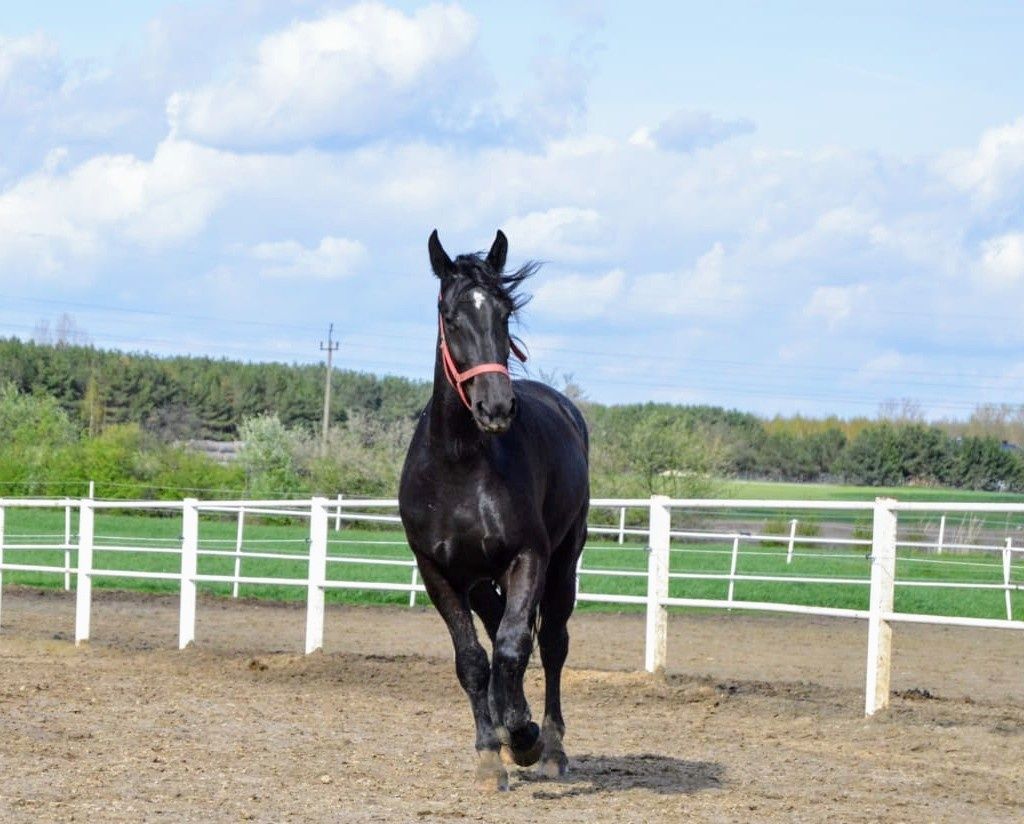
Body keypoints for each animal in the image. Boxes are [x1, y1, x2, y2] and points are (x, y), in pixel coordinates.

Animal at [401, 228, 593, 786]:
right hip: (482, 580)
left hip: (563, 563)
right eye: (450, 315)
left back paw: (549, 747)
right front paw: (491, 750)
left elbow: (513, 648)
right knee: (498, 634)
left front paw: (524, 736)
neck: (460, 467)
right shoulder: (438, 570)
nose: (497, 406)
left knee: (549, 643)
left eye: (506, 312)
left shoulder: (529, 556)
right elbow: (473, 659)